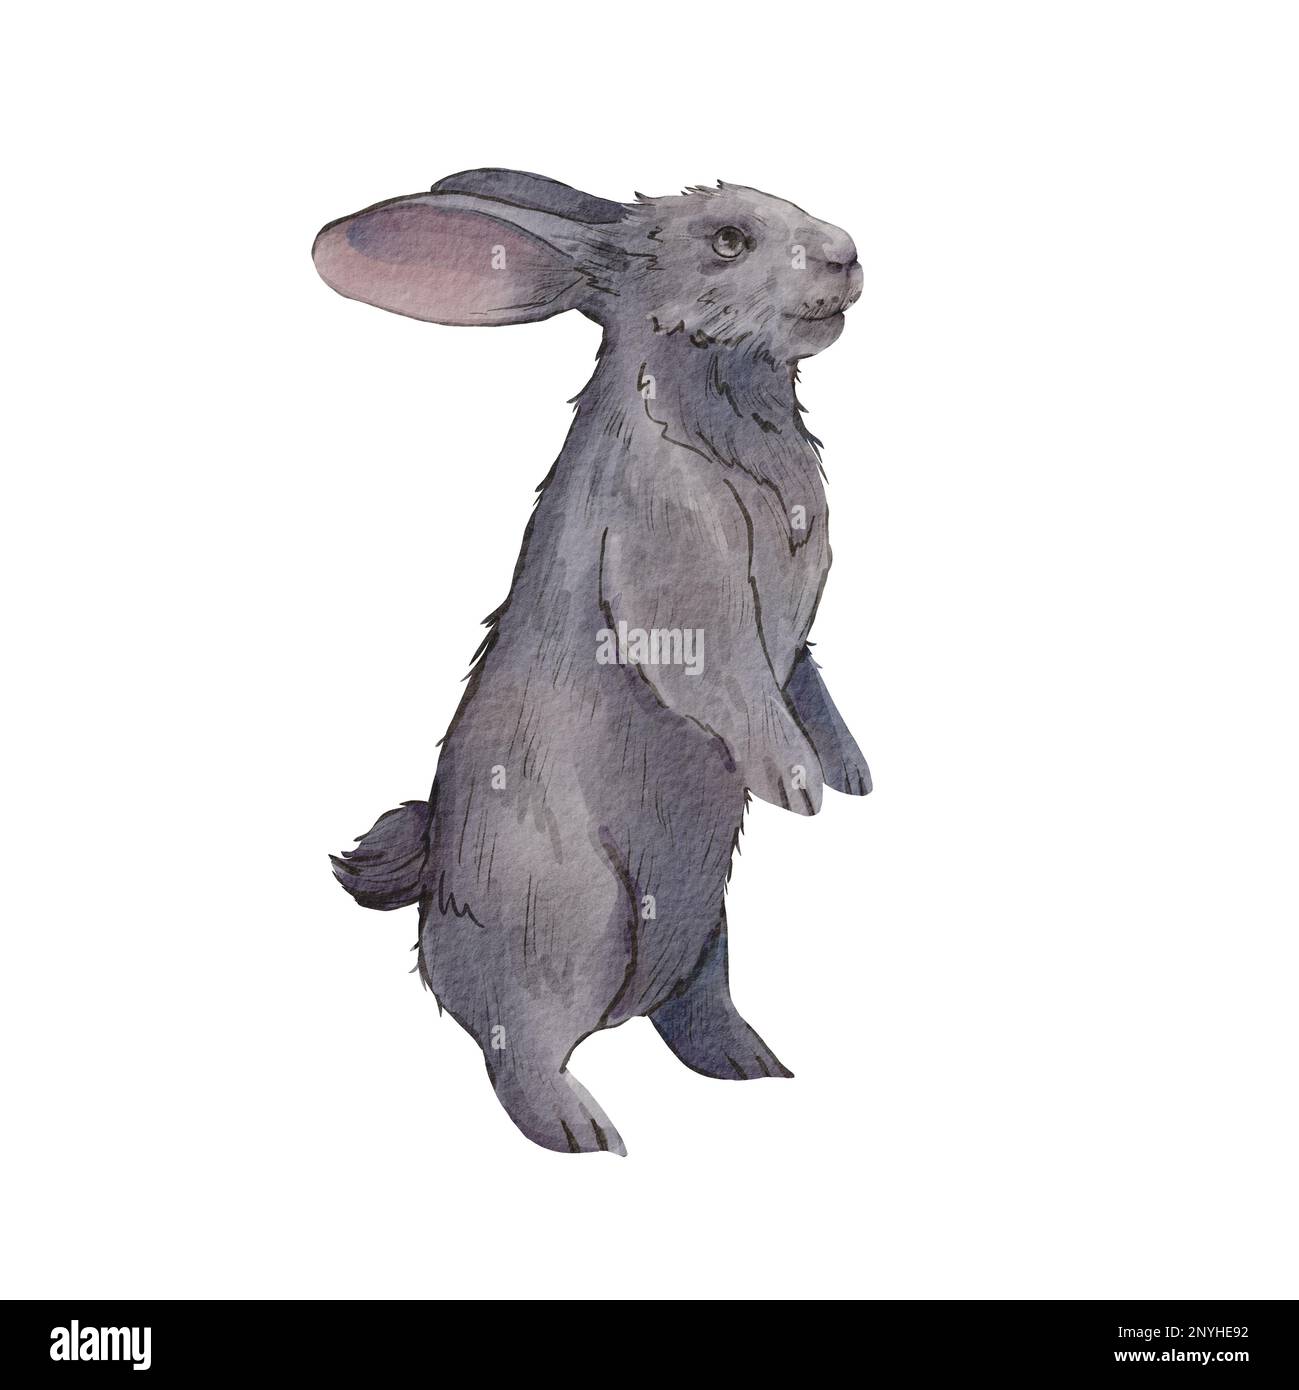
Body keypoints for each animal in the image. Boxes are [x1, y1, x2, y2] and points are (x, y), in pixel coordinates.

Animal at [315, 169, 871, 1155]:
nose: (847, 255)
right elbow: (730, 680)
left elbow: (803, 676)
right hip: (575, 923)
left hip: (706, 924)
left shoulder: (798, 638)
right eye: (728, 240)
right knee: (517, 1052)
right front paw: (799, 787)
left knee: (691, 1011)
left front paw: (852, 775)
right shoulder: (674, 577)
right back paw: (588, 1133)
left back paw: (757, 1067)